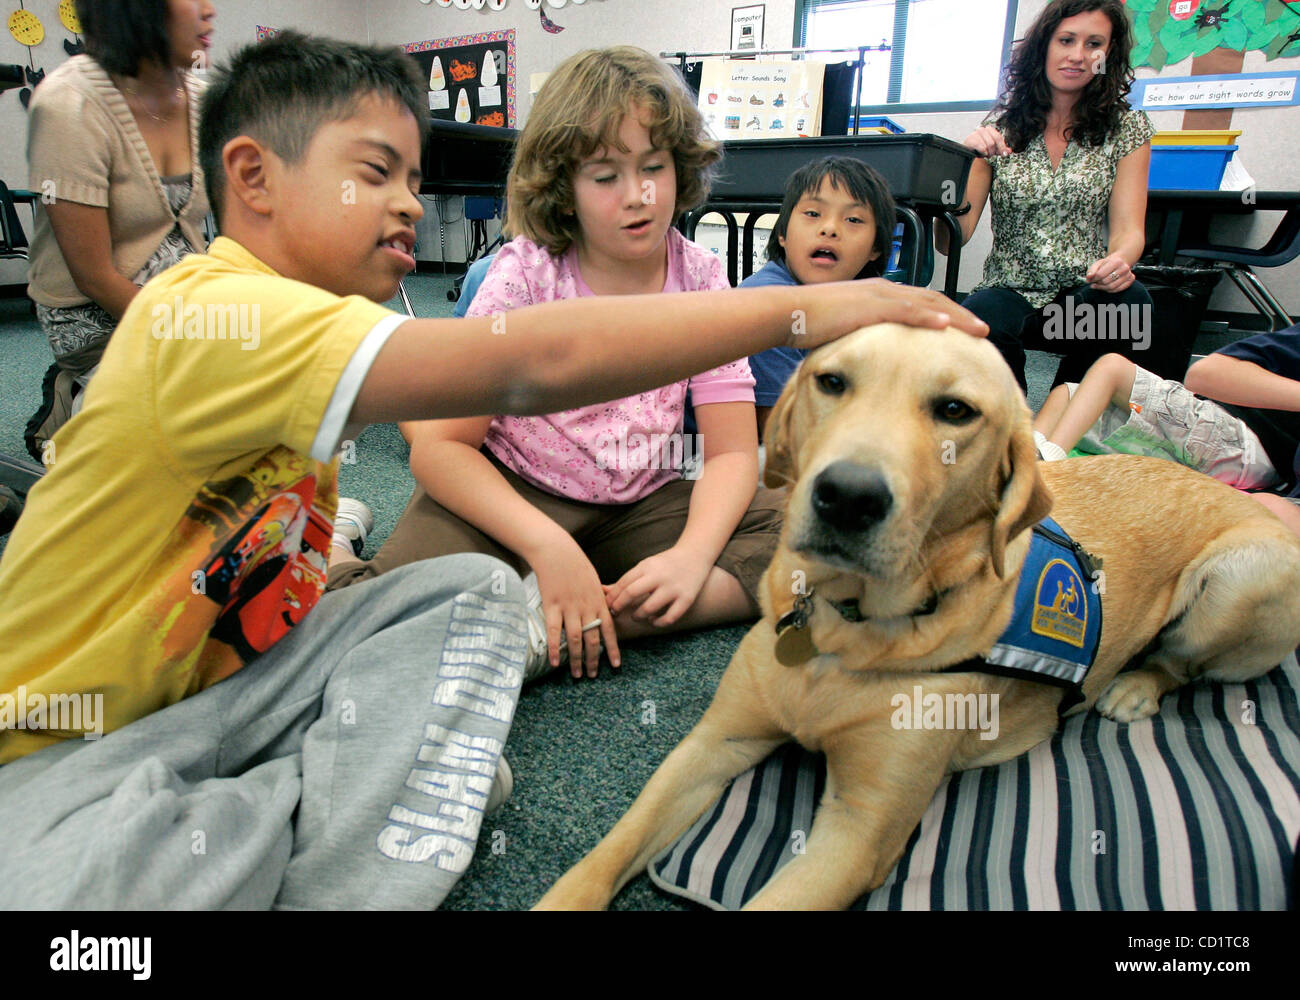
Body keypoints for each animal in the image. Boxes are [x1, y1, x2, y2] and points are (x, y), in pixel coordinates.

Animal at [533, 323, 1300, 910]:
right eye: (832, 382)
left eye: (956, 410)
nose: (847, 496)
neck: (841, 627)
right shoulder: (713, 742)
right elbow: (611, 848)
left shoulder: (857, 834)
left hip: (1243, 574)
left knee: (1183, 663)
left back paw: (1136, 687)